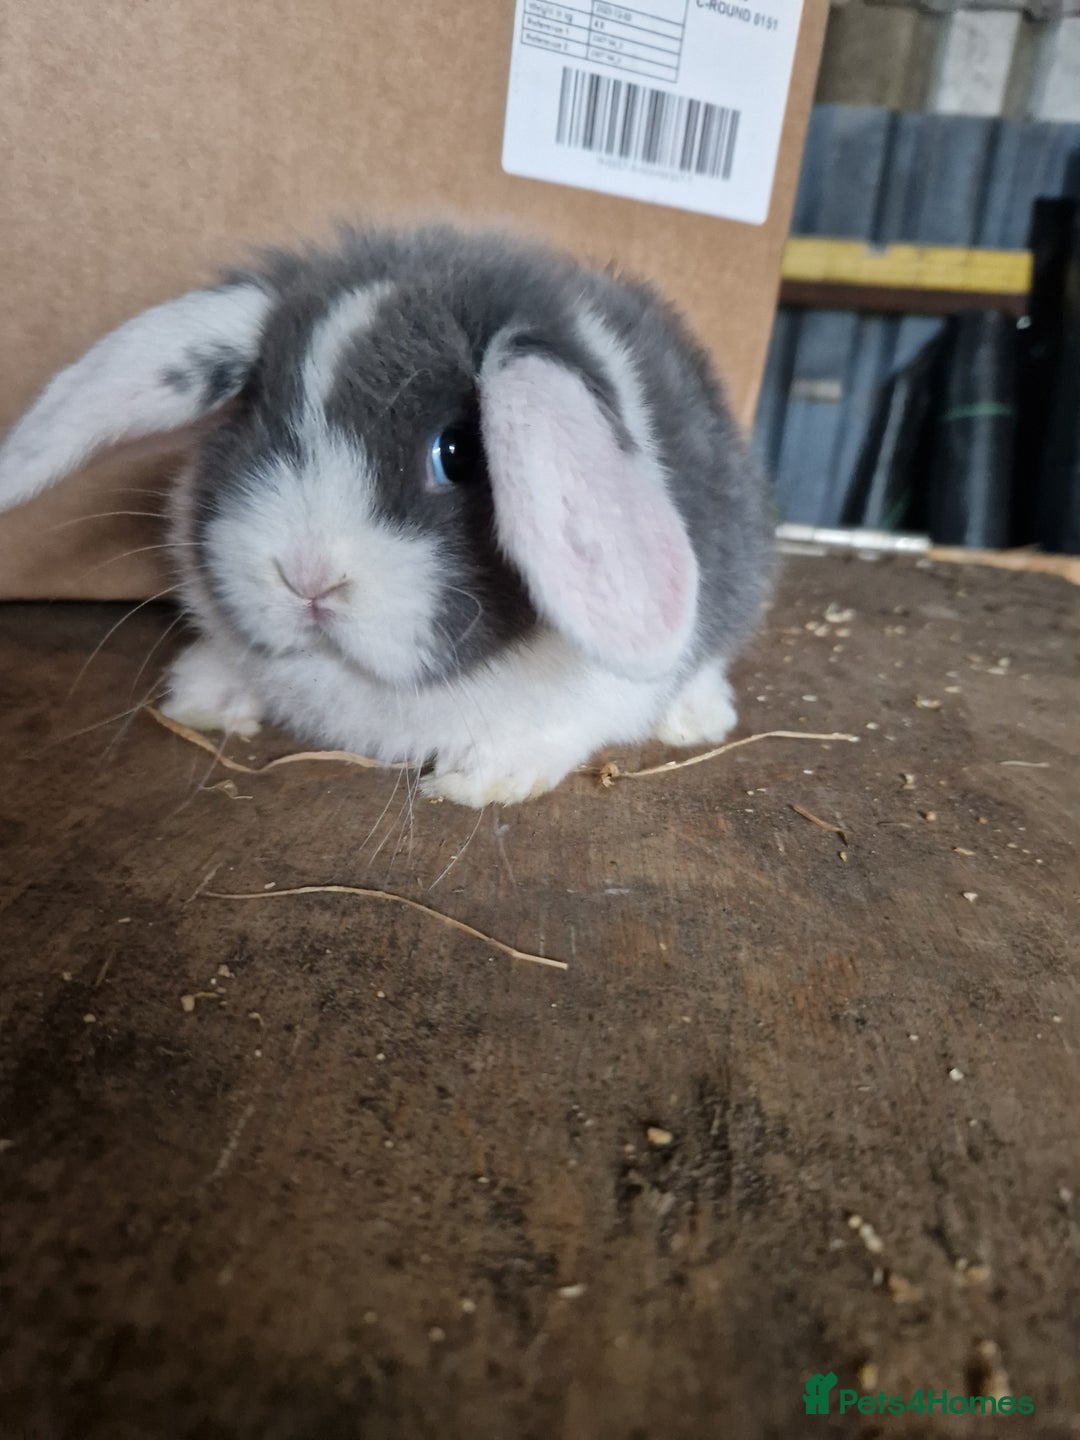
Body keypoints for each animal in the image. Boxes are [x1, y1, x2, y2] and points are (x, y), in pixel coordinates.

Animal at [0, 224, 774, 807]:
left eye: (458, 452)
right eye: (256, 420)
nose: (308, 577)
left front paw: (477, 781)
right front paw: (202, 698)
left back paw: (697, 718)